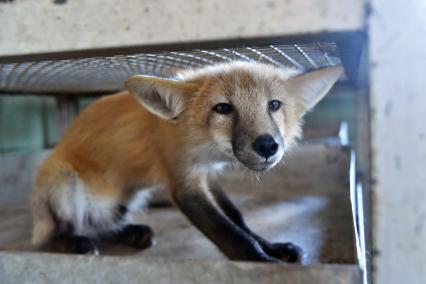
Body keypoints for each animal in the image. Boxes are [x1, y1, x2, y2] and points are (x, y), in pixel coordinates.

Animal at [30, 61, 342, 262]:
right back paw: (76, 242)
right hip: (64, 184)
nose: (267, 145)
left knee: (102, 223)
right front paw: (263, 262)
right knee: (62, 230)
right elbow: (229, 232)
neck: (202, 145)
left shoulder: (207, 174)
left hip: (129, 198)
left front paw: (273, 247)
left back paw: (130, 232)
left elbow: (238, 219)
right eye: (223, 108)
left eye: (274, 105)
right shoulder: (183, 181)